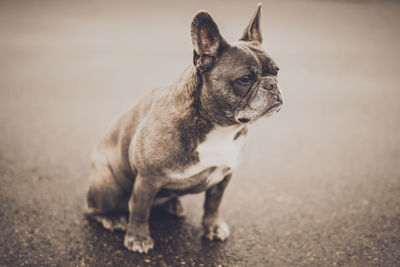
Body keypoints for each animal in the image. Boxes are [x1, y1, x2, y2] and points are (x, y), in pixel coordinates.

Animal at [85, 4, 282, 255]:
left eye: (276, 71)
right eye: (245, 79)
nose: (272, 84)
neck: (219, 127)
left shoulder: (224, 176)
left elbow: (213, 205)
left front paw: (213, 227)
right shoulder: (147, 178)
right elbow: (139, 210)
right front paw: (138, 238)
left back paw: (173, 204)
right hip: (107, 185)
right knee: (94, 209)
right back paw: (112, 218)